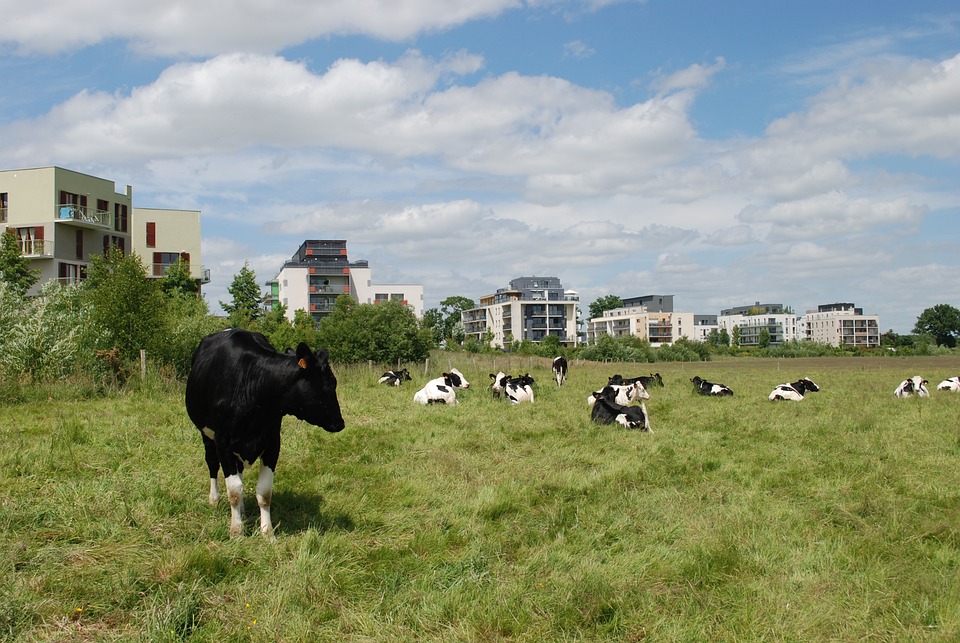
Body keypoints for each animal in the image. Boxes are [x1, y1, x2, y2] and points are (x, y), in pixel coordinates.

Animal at [184, 328, 344, 540]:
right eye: (331, 384)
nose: (340, 423)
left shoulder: (272, 443)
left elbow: (264, 492)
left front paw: (267, 532)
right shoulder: (223, 442)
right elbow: (234, 490)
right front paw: (236, 530)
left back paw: (243, 510)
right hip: (206, 435)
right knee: (212, 464)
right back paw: (215, 499)